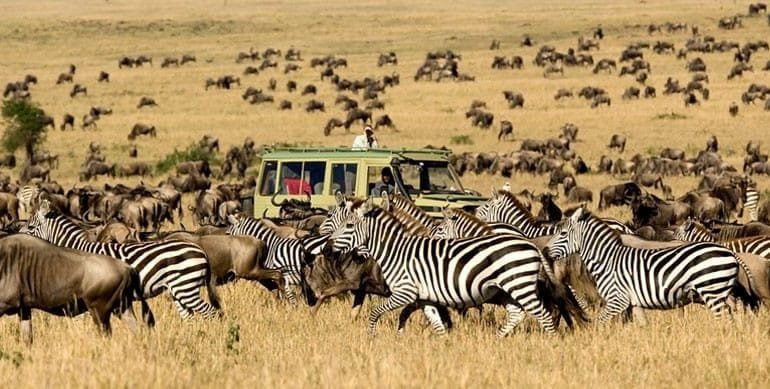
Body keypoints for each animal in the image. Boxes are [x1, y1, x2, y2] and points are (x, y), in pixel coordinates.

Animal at [328, 199, 564, 334]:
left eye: (349, 225)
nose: (328, 247)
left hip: (519, 285)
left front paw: (371, 337)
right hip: (507, 289)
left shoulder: (405, 292)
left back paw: (549, 344)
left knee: (544, 315)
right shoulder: (424, 298)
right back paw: (498, 339)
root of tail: (531, 244)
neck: (396, 251)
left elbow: (375, 313)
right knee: (518, 314)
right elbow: (437, 325)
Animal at [544, 208, 740, 322]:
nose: (544, 250)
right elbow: (640, 325)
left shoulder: (617, 299)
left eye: (562, 233)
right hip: (720, 292)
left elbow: (600, 322)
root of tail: (730, 253)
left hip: (711, 291)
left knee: (723, 318)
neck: (607, 260)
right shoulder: (633, 302)